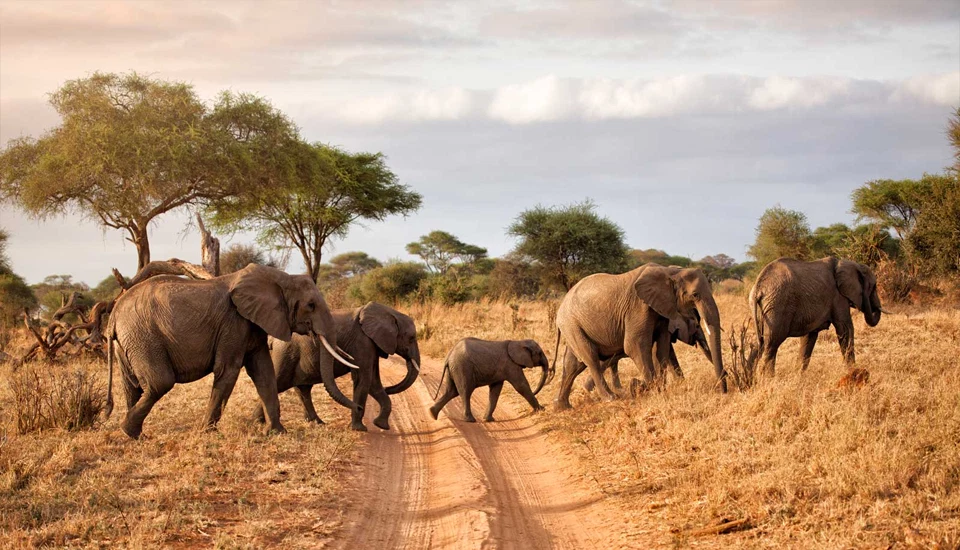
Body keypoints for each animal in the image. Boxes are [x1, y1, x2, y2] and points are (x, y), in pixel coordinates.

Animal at [103, 264, 360, 439]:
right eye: (311, 306)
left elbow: (264, 373)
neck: (280, 278)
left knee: (132, 386)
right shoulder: (234, 322)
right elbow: (228, 370)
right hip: (144, 337)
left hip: (129, 342)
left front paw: (278, 432)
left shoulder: (254, 323)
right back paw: (128, 430)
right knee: (160, 382)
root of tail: (113, 315)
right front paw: (207, 432)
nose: (358, 408)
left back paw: (135, 435)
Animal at [262, 302, 421, 432]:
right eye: (411, 338)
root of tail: (272, 339)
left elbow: (374, 382)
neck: (389, 312)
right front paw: (360, 429)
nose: (389, 388)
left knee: (303, 389)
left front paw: (381, 425)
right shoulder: (362, 342)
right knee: (279, 383)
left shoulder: (372, 345)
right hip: (285, 353)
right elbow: (364, 380)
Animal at [552, 263, 727, 411]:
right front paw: (644, 388)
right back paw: (610, 398)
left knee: (573, 364)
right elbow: (634, 345)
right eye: (695, 295)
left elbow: (662, 348)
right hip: (571, 324)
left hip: (573, 327)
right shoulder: (638, 307)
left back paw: (562, 406)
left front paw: (657, 388)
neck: (670, 271)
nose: (724, 391)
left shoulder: (662, 310)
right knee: (591, 358)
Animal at [749, 257, 883, 375]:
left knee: (758, 344)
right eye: (873, 287)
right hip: (778, 305)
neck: (848, 263)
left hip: (764, 310)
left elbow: (809, 337)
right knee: (771, 343)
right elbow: (845, 329)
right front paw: (854, 371)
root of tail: (758, 288)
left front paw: (798, 376)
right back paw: (768, 379)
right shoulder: (838, 297)